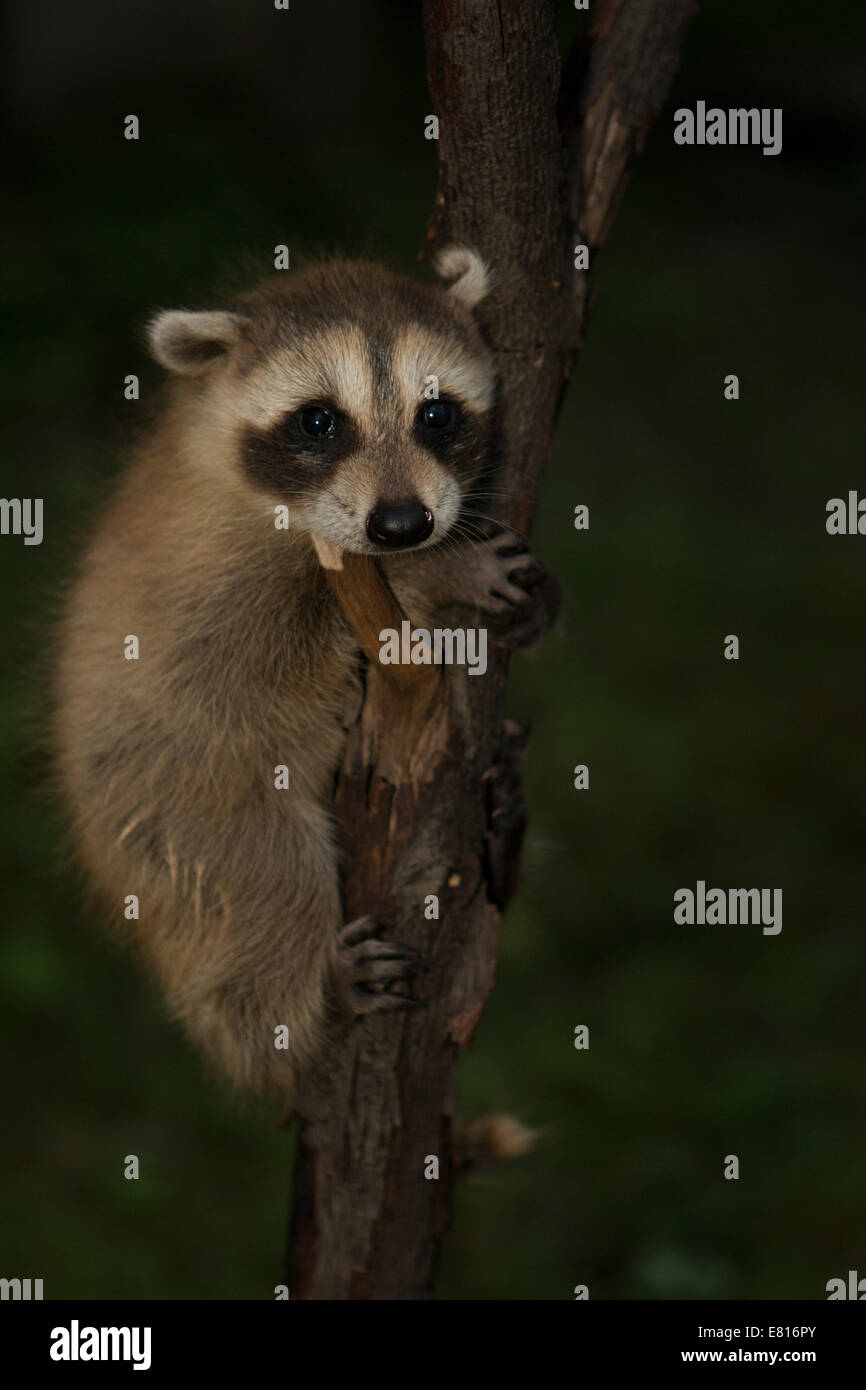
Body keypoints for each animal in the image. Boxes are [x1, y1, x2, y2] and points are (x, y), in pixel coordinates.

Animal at [53, 247, 547, 1096]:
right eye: (319, 420)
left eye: (436, 414)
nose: (403, 525)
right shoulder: (206, 578)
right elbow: (268, 643)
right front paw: (440, 570)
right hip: (164, 806)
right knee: (262, 883)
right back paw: (309, 1003)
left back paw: (503, 828)